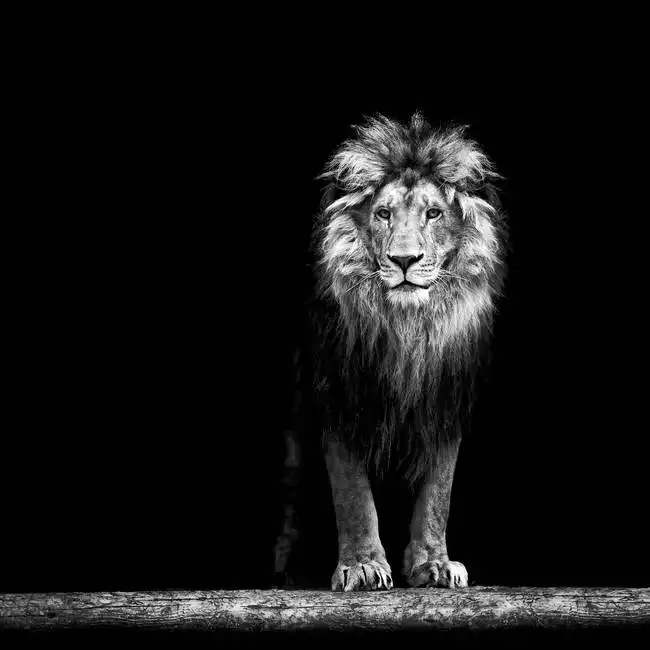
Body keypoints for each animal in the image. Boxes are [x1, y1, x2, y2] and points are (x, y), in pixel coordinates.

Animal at [274, 113, 507, 591]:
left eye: (433, 213)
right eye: (383, 214)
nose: (403, 260)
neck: (407, 329)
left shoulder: (444, 402)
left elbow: (438, 494)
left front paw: (434, 564)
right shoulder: (339, 399)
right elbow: (353, 494)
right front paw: (362, 565)